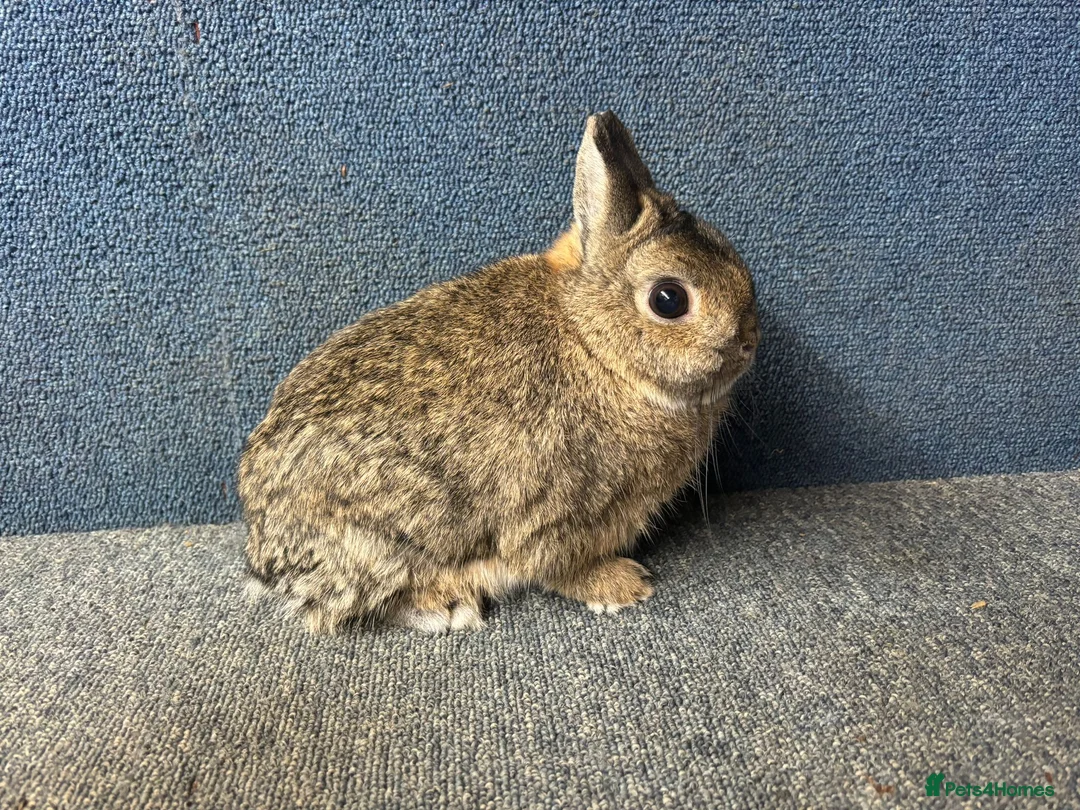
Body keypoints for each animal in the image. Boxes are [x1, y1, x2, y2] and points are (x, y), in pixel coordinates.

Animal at [238, 111, 760, 633]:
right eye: (669, 300)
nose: (749, 341)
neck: (593, 344)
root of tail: (265, 554)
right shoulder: (557, 515)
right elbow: (558, 566)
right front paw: (622, 586)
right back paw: (449, 606)